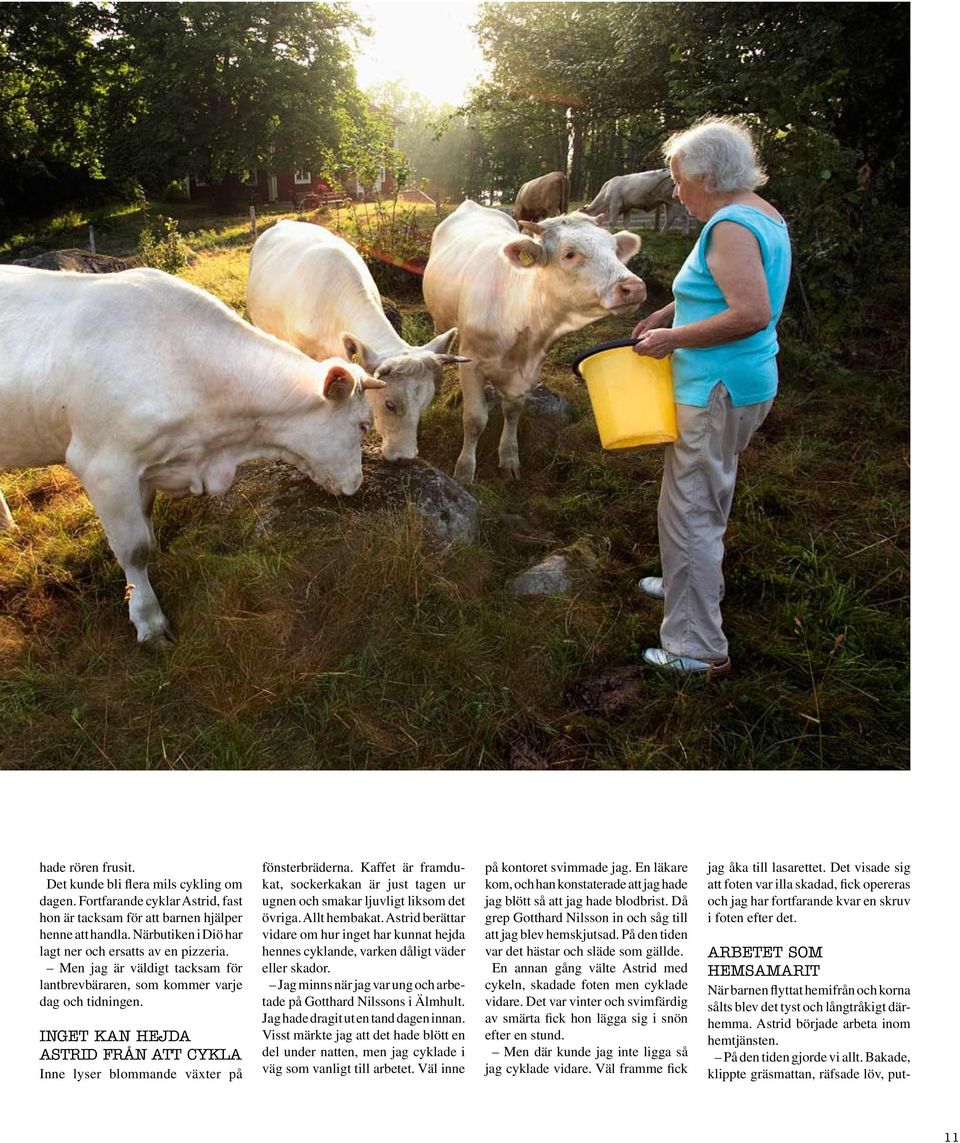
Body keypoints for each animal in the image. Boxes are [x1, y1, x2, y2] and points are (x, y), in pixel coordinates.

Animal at [0, 261, 381, 649]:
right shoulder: (104, 467)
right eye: (364, 425)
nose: (356, 484)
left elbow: (147, 526)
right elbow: (134, 548)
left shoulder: (149, 468)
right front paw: (149, 621)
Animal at [422, 203, 640, 480]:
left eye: (613, 248)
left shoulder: (531, 368)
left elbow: (513, 410)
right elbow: (474, 420)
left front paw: (509, 458)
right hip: (440, 318)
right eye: (569, 254)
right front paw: (464, 470)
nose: (634, 287)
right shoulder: (471, 363)